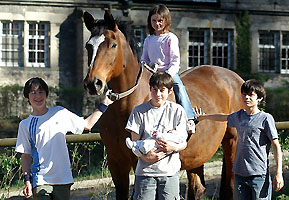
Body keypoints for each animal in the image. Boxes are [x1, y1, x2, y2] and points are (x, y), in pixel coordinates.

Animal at [82, 10, 243, 200]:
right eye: (88, 46)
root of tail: (237, 80)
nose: (93, 83)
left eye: (113, 45)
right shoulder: (117, 164)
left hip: (232, 143)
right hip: (197, 154)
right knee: (197, 189)